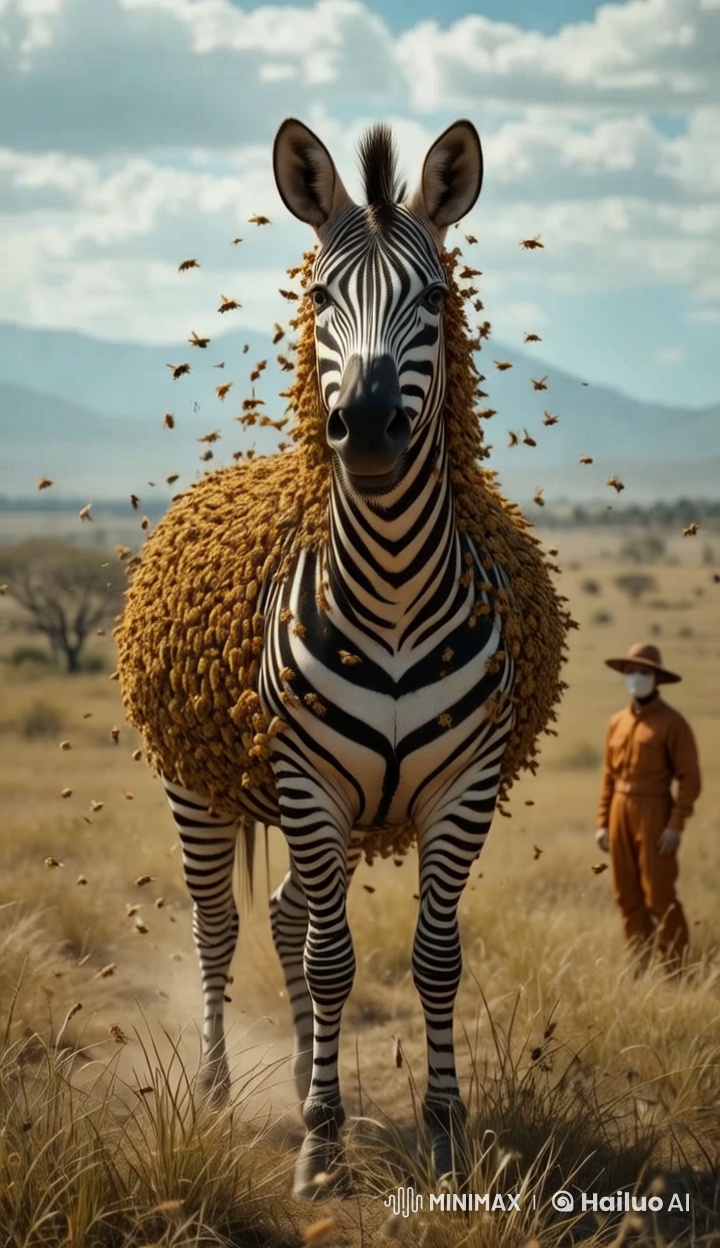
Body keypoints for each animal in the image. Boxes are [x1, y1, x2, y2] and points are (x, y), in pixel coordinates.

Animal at [159, 117, 517, 1198]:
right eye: (319, 295)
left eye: (436, 297)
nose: (363, 427)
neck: (394, 587)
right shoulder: (309, 782)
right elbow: (331, 963)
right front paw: (321, 1149)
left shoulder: (462, 787)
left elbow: (432, 959)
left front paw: (443, 1135)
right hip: (204, 787)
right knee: (222, 924)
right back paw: (220, 1092)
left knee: (286, 916)